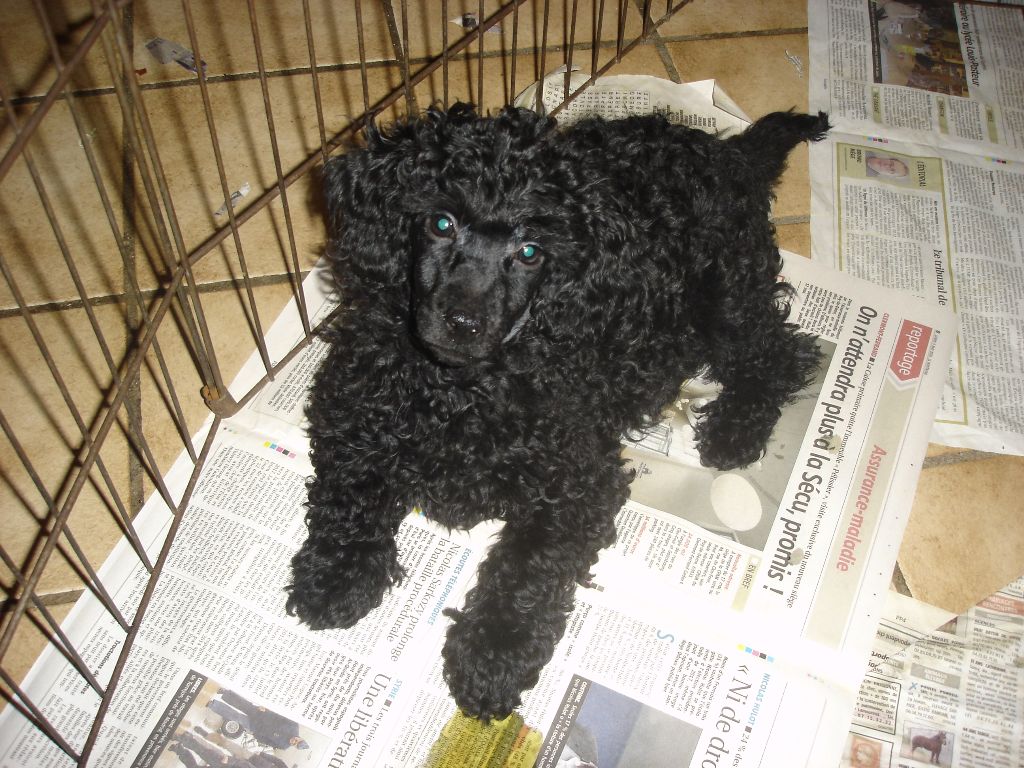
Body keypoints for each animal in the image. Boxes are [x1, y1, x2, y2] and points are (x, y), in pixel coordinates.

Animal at [286, 102, 829, 720]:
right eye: (441, 223)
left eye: (530, 253)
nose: (464, 322)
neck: (462, 390)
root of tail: (728, 153)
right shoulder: (351, 406)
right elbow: (352, 491)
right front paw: (336, 575)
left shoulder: (577, 482)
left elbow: (528, 567)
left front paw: (493, 654)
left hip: (728, 296)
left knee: (782, 352)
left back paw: (735, 431)